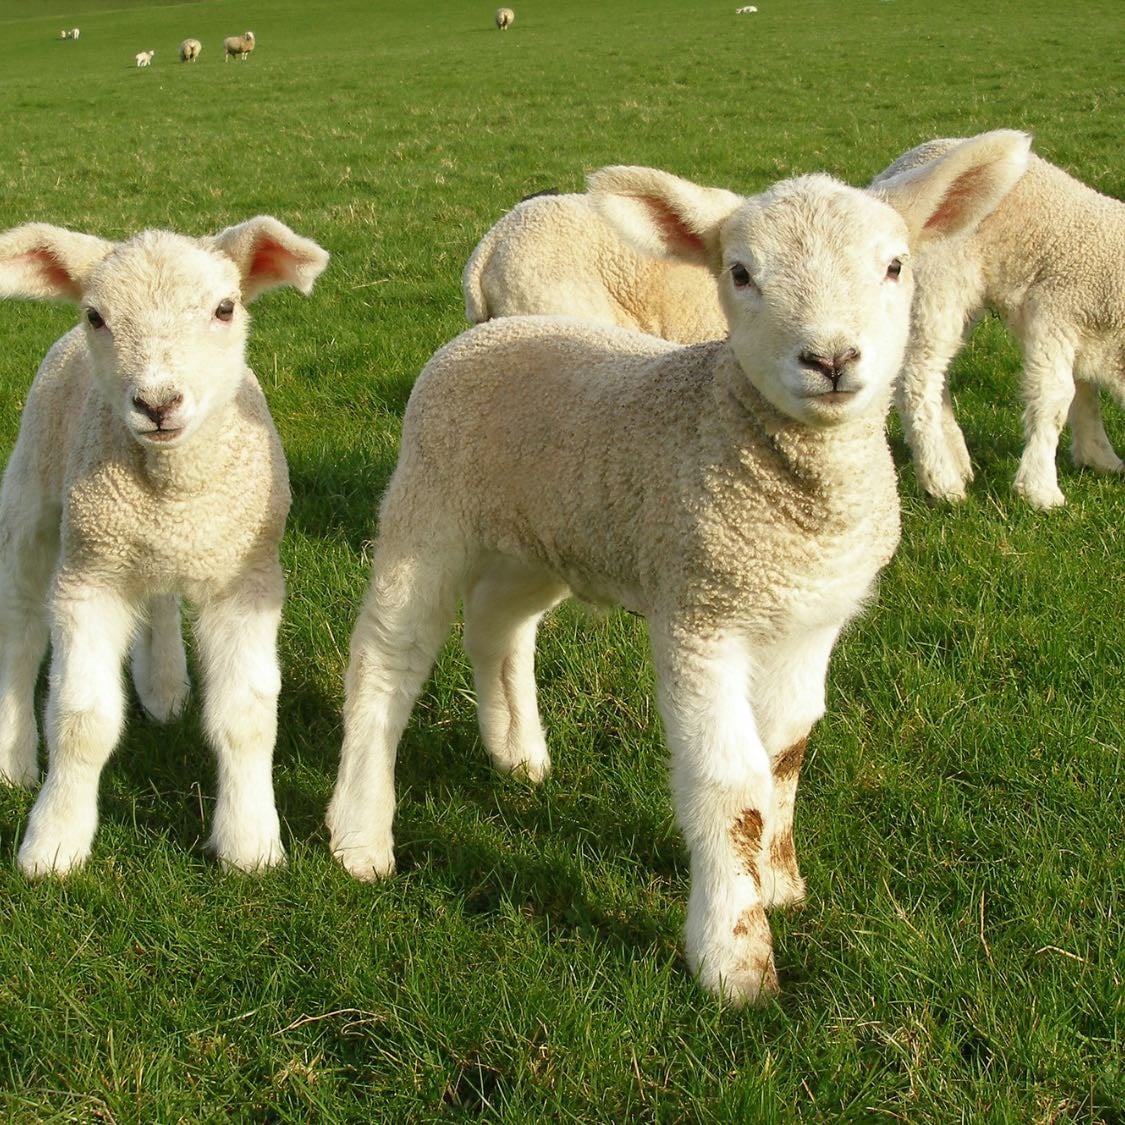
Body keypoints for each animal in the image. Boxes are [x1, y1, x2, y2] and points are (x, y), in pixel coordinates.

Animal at [0, 216, 329, 877]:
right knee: (19, 631)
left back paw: (164, 687)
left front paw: (251, 843)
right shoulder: (89, 579)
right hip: (33, 499)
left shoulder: (246, 579)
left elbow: (247, 717)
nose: (157, 403)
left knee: (158, 600)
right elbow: (80, 719)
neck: (172, 491)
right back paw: (13, 758)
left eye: (226, 308)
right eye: (96, 315)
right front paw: (53, 843)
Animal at [873, 138, 1125, 508]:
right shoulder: (1053, 308)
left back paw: (958, 460)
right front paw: (1040, 489)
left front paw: (1099, 457)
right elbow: (1055, 396)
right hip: (935, 282)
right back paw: (942, 481)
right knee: (918, 380)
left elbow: (1083, 390)